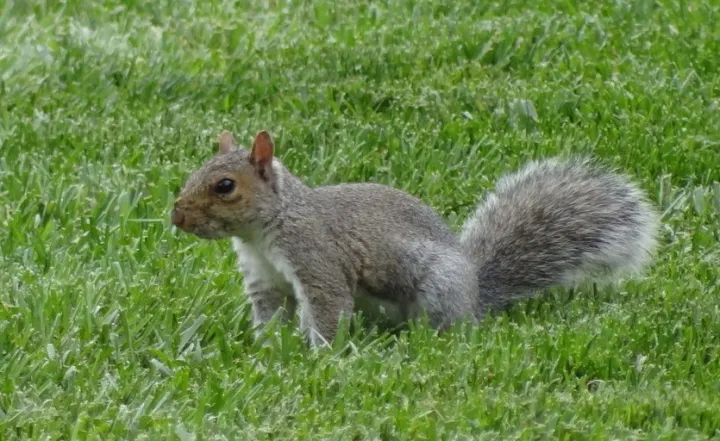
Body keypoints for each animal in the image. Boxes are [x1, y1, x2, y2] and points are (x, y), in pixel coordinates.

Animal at [171, 129, 659, 347]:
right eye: (196, 171)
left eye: (225, 186)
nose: (176, 216)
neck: (263, 232)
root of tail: (476, 297)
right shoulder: (264, 279)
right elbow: (270, 315)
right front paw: (266, 350)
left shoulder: (316, 258)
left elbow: (326, 308)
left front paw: (316, 356)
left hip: (439, 287)